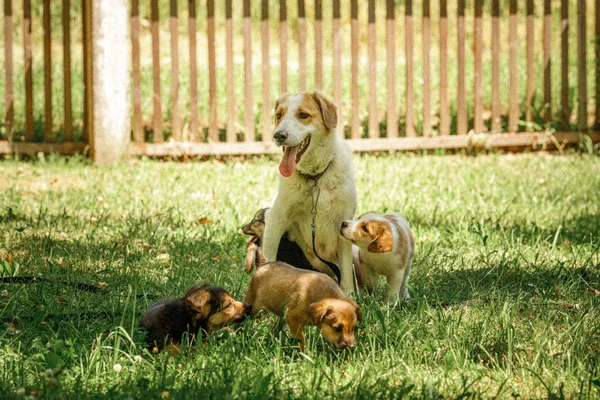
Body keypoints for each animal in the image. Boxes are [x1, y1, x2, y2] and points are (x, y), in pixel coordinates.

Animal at [262, 91, 356, 294]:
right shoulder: (275, 218)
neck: (315, 178)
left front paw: (349, 294)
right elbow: (267, 259)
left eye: (303, 115)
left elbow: (346, 270)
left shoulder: (344, 222)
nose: (278, 135)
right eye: (279, 115)